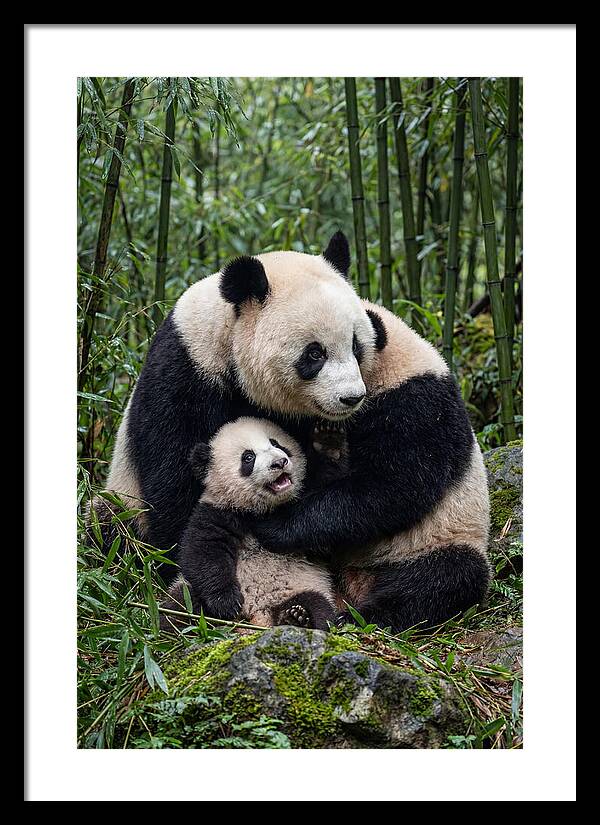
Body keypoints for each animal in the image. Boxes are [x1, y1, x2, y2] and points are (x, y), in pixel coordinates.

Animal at [160, 416, 338, 631]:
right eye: (248, 457)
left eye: (277, 444)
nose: (279, 462)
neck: (259, 509)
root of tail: (257, 615)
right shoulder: (217, 512)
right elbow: (203, 552)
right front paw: (227, 603)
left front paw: (328, 442)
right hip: (187, 591)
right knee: (179, 605)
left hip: (303, 586)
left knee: (318, 606)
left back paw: (297, 618)